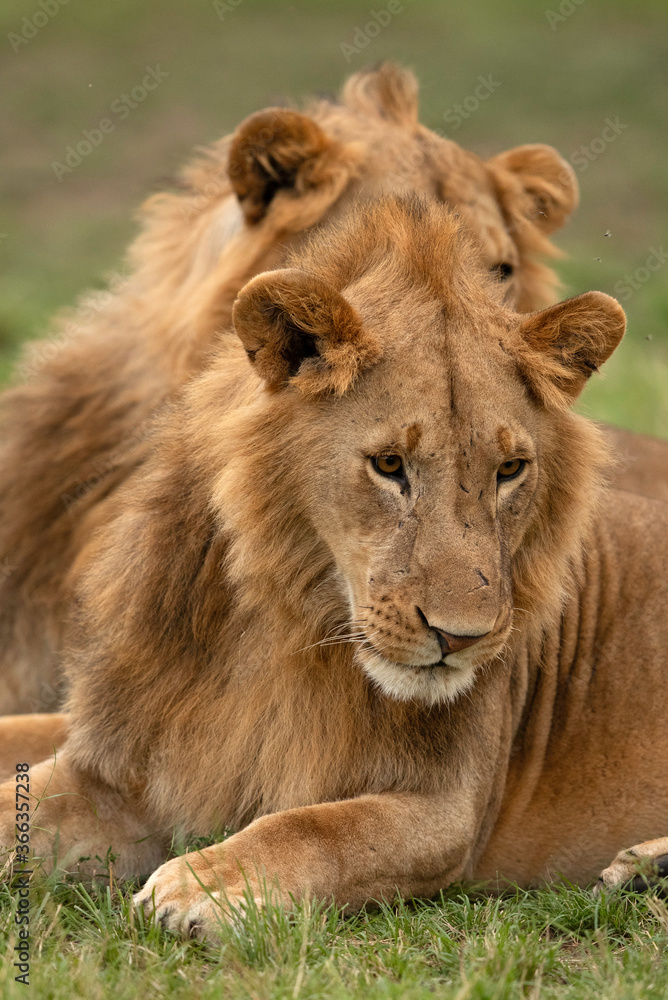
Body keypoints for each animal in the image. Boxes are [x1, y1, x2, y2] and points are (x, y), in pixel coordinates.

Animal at [1, 196, 666, 936]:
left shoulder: (447, 814)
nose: (461, 637)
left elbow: (316, 829)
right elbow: (23, 804)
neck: (283, 633)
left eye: (510, 470)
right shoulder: (127, 762)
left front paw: (207, 884)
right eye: (389, 464)